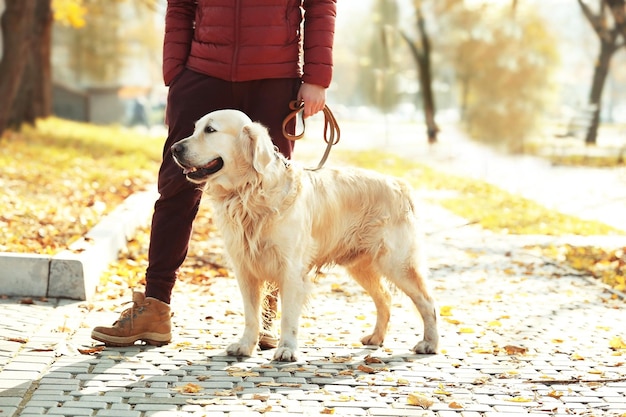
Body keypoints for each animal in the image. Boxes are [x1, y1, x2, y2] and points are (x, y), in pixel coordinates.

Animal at [168, 109, 436, 360]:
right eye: (196, 128)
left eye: (210, 130)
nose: (173, 148)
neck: (250, 192)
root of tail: (399, 184)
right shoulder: (244, 268)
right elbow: (251, 314)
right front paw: (245, 346)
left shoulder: (291, 269)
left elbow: (287, 315)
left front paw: (287, 349)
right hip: (361, 265)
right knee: (385, 299)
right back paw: (376, 337)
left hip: (397, 263)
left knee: (428, 302)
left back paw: (429, 344)